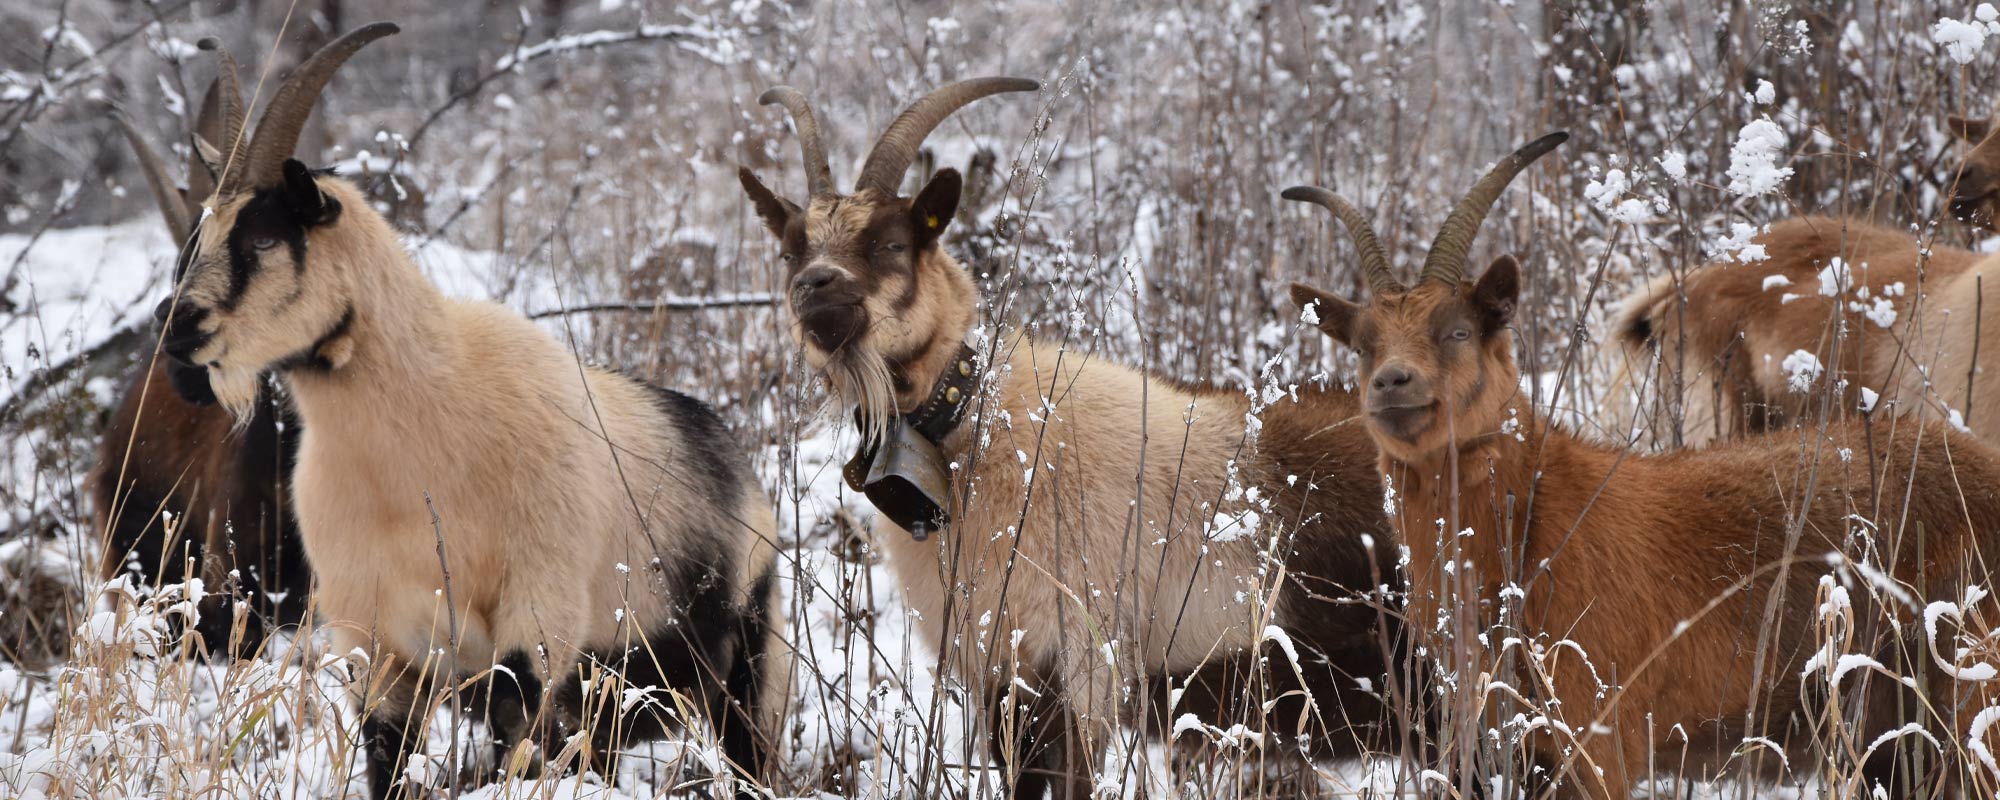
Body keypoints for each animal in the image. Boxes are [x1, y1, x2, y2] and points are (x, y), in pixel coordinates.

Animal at [152, 23, 788, 792]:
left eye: (265, 237)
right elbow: (388, 760)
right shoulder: (380, 649)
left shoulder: (537, 624)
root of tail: (732, 459)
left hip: (746, 668)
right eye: (196, 240)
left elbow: (517, 740)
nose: (176, 328)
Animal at [740, 79, 1408, 792]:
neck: (991, 438)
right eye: (791, 249)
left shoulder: (1088, 665)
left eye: (892, 243)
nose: (813, 289)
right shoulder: (1002, 674)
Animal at [1288, 134, 2000, 796]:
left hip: (1967, 690)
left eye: (1459, 331)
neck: (1538, 514)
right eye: (1362, 346)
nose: (1392, 383)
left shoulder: (1601, 740)